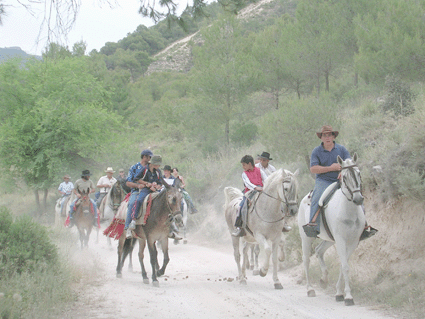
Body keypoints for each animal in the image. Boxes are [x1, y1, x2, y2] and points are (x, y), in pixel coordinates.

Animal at [298, 155, 364, 308]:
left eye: (358, 173)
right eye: (344, 177)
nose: (358, 199)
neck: (349, 212)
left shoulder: (353, 242)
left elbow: (343, 265)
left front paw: (339, 293)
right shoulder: (341, 240)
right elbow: (345, 266)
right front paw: (348, 297)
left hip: (329, 239)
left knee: (319, 250)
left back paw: (323, 279)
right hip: (306, 238)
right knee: (306, 260)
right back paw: (310, 289)